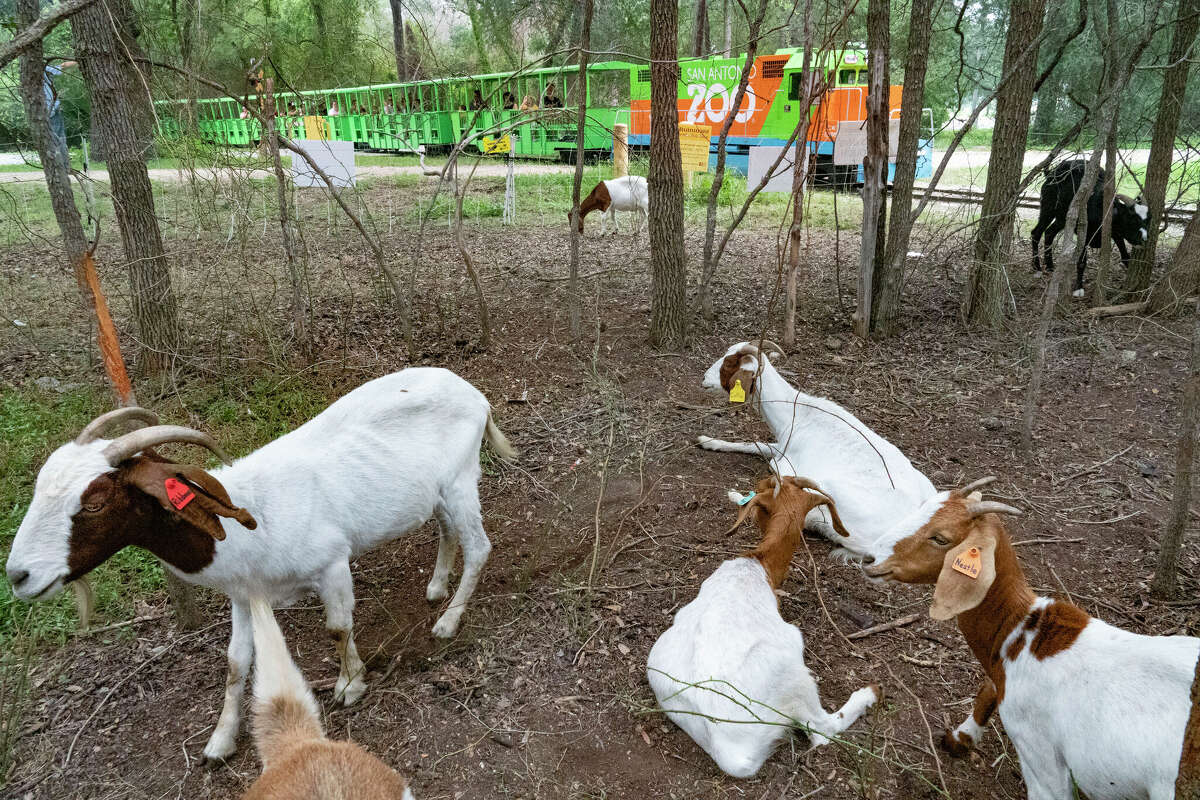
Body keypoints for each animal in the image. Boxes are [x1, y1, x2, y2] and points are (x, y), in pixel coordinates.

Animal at [6, 367, 517, 762]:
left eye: (94, 502)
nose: (18, 576)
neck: (252, 524)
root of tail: (471, 391)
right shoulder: (243, 595)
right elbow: (236, 663)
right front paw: (220, 741)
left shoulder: (331, 564)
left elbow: (338, 628)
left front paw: (350, 686)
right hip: (436, 491)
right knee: (446, 529)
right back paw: (436, 587)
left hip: (460, 479)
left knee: (480, 546)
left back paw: (448, 621)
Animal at [698, 341, 936, 563]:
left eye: (729, 362)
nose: (704, 379)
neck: (797, 413)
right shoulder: (781, 447)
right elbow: (753, 444)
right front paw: (708, 441)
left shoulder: (785, 465)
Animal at [865, 478, 1200, 800]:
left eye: (940, 538)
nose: (869, 558)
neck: (1025, 633)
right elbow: (986, 690)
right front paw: (960, 738)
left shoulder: (1039, 752)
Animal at [1030, 159, 1150, 297]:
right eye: (1132, 219)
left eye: (1147, 220)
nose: (1144, 239)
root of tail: (1051, 173)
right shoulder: (1085, 234)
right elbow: (1081, 262)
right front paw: (1078, 289)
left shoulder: (1116, 233)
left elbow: (1125, 256)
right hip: (1048, 208)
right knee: (1036, 233)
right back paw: (1037, 267)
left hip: (1062, 218)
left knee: (1049, 233)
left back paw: (1050, 266)